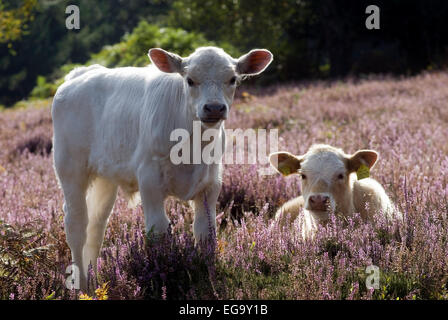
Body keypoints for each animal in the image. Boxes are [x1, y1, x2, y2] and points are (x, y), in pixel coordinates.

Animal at [50, 45, 272, 290]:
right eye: (190, 80)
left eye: (232, 79)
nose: (214, 108)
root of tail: (80, 73)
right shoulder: (149, 181)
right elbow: (158, 232)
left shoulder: (211, 184)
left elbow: (206, 232)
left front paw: (209, 276)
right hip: (70, 168)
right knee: (76, 224)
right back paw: (80, 285)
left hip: (105, 177)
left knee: (96, 226)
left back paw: (94, 283)